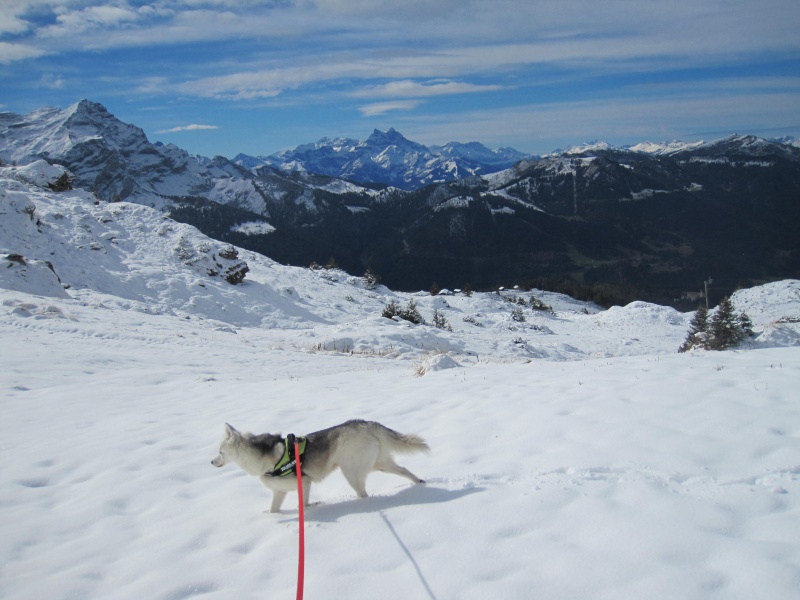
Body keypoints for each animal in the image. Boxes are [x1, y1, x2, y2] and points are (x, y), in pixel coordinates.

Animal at [209, 420, 428, 512]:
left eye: (220, 452)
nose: (211, 462)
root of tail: (366, 423)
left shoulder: (304, 482)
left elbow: (304, 505)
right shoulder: (280, 492)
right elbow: (273, 511)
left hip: (352, 472)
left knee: (364, 494)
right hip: (379, 463)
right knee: (404, 470)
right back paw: (419, 482)